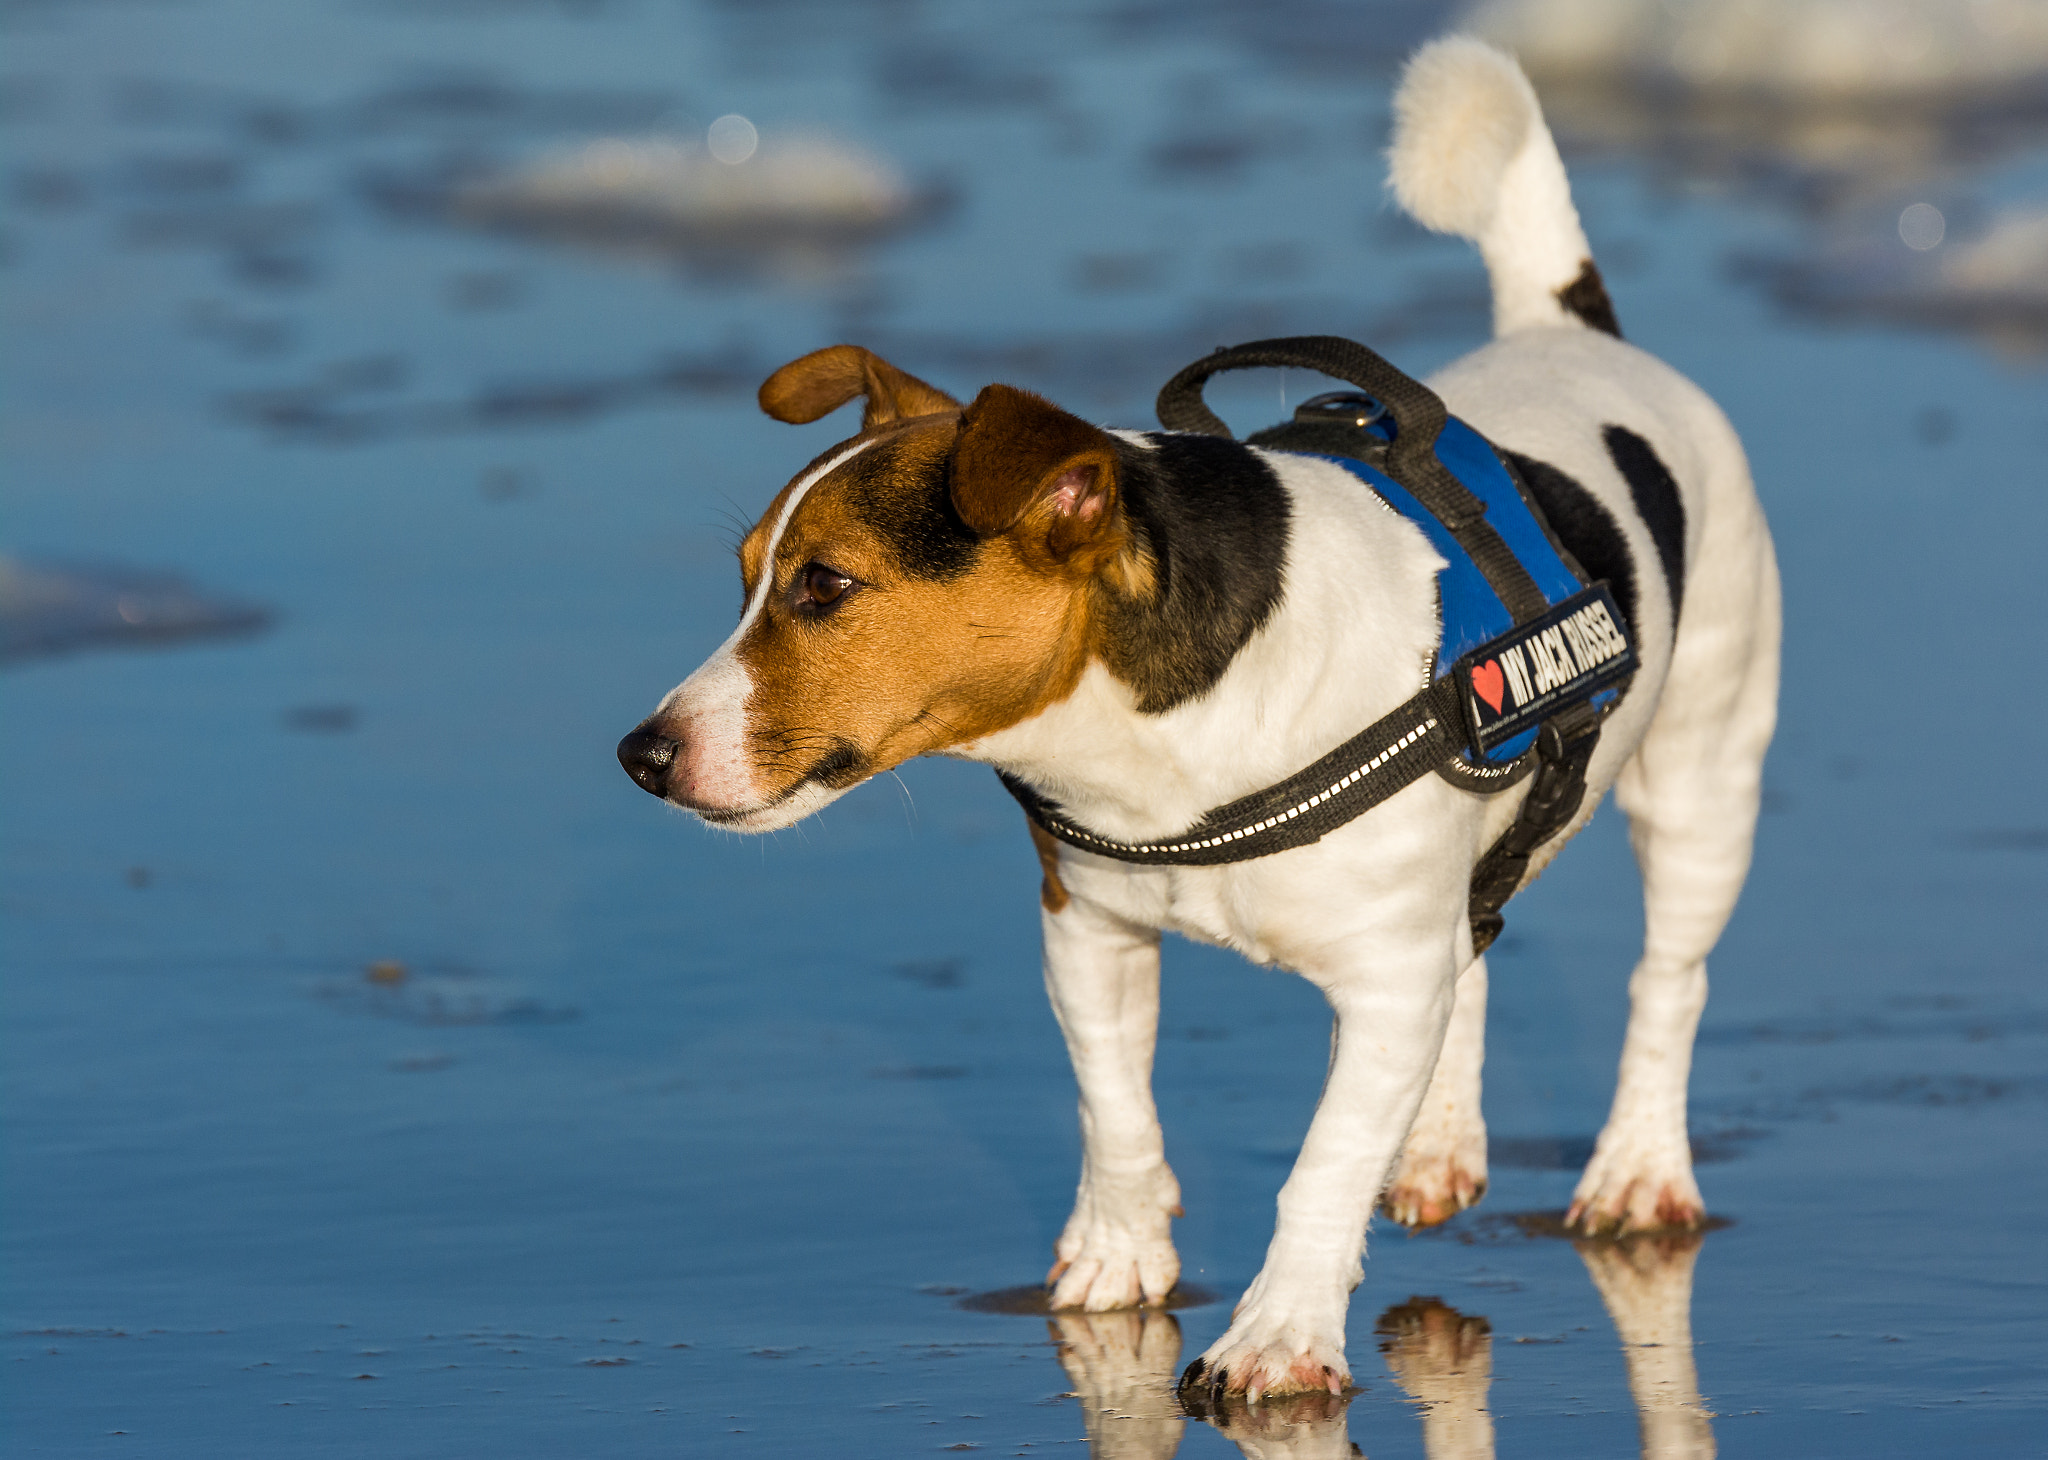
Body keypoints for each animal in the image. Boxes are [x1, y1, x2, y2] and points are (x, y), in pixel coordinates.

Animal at [618, 37, 1777, 1400]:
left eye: (824, 585)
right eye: (749, 574)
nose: (640, 755)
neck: (1163, 736)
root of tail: (1562, 328)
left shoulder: (1383, 980)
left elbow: (1320, 1163)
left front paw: (1279, 1328)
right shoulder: (1090, 925)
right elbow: (1111, 1104)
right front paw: (1118, 1254)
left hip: (1705, 772)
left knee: (1667, 979)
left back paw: (1637, 1166)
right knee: (1478, 947)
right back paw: (1435, 1139)